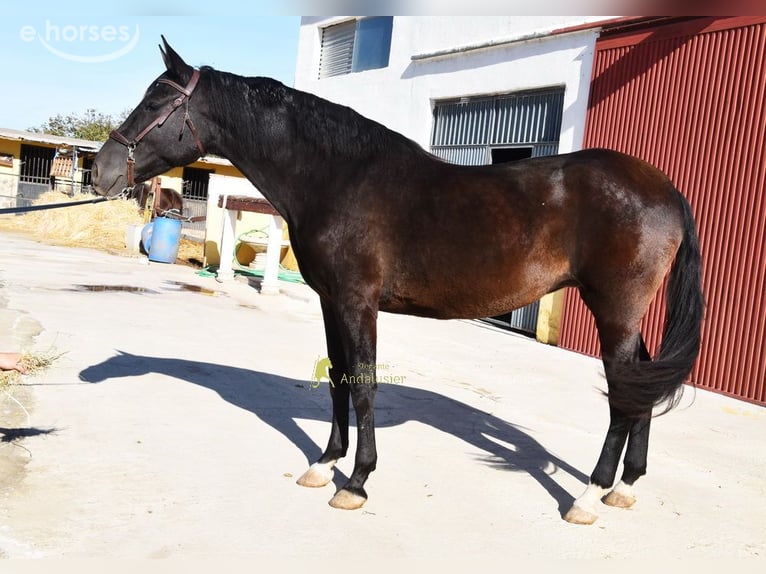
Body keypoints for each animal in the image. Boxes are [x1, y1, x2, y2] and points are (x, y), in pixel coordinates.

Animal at [91, 38, 704, 525]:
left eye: (157, 101)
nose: (102, 171)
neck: (339, 176)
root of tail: (664, 188)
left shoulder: (357, 302)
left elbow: (363, 384)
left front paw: (357, 482)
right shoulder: (331, 301)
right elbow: (339, 379)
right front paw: (324, 464)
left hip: (615, 306)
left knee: (623, 394)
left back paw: (588, 495)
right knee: (640, 385)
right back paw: (625, 487)